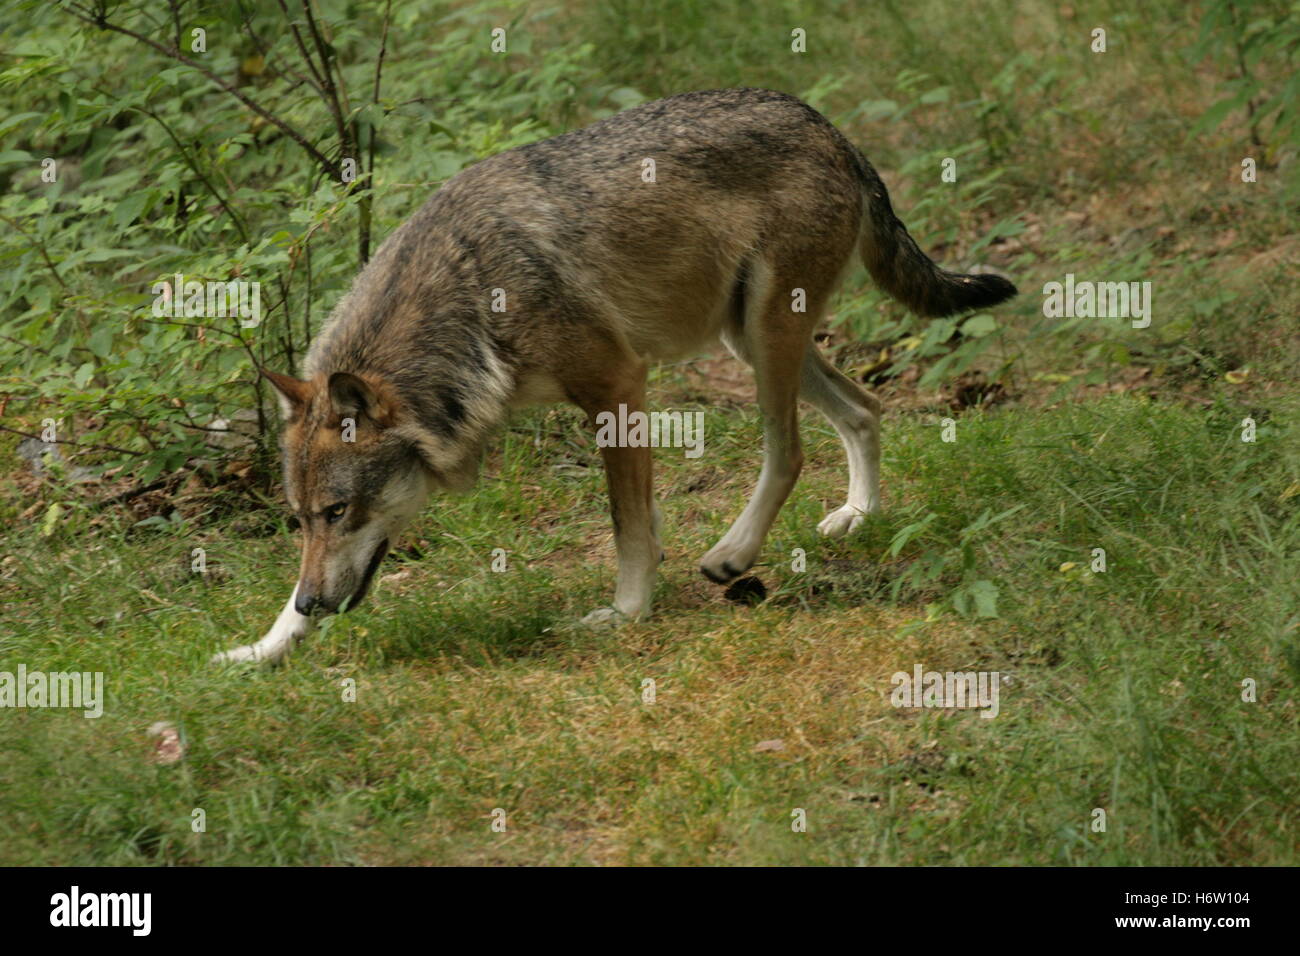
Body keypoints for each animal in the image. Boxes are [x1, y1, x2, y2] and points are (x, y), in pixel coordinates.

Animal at [210, 89, 1013, 665]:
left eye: (338, 513)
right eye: (301, 519)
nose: (311, 606)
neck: (469, 298)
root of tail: (826, 125)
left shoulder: (620, 386)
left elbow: (624, 524)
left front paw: (625, 614)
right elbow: (643, 519)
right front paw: (262, 648)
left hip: (763, 342)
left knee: (788, 452)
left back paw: (734, 555)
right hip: (751, 340)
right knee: (866, 407)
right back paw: (859, 515)